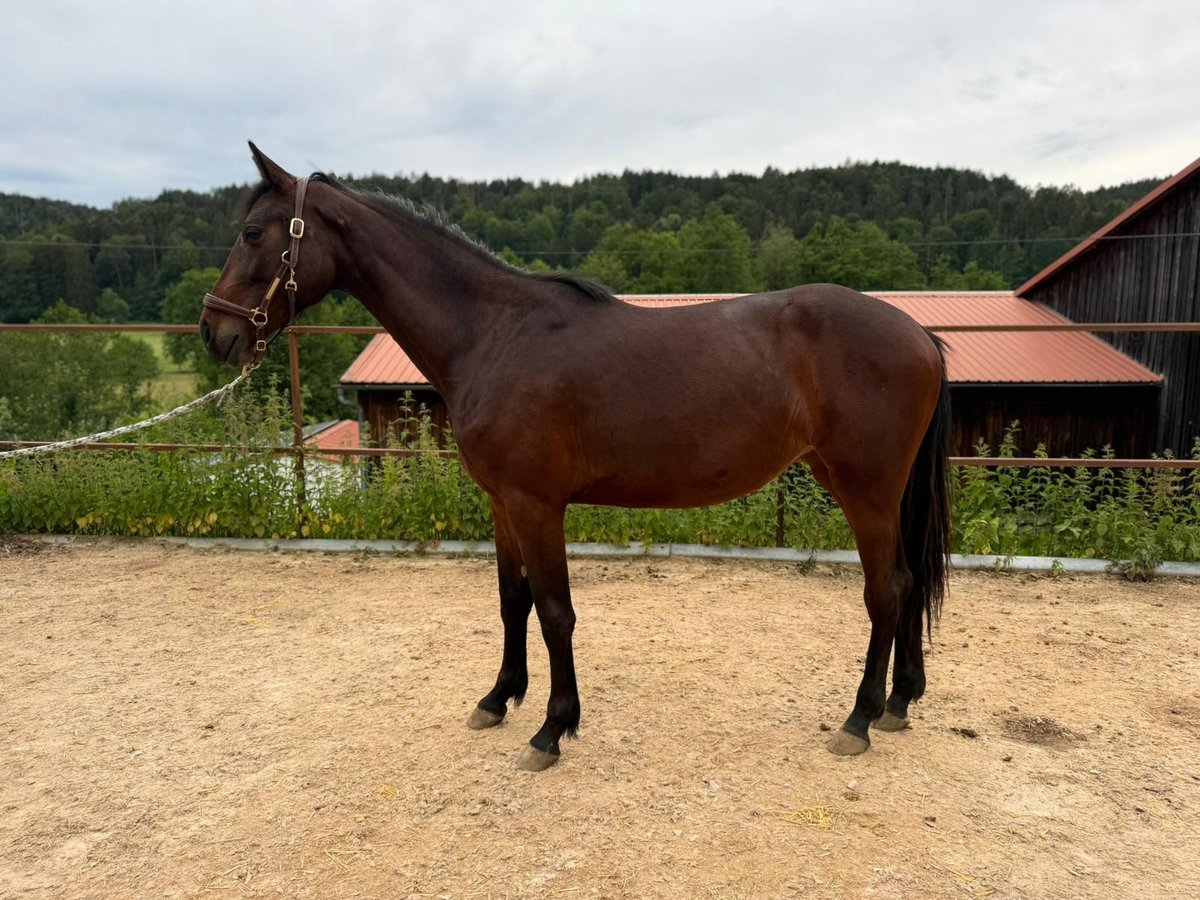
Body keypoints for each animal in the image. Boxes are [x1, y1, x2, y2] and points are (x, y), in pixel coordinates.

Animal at [201, 144, 950, 772]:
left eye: (253, 233)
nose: (214, 331)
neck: (495, 334)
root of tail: (919, 334)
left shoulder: (538, 505)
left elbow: (555, 610)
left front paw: (552, 729)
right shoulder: (502, 503)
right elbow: (513, 601)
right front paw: (498, 699)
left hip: (866, 487)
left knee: (887, 590)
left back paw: (857, 719)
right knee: (911, 582)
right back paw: (897, 704)